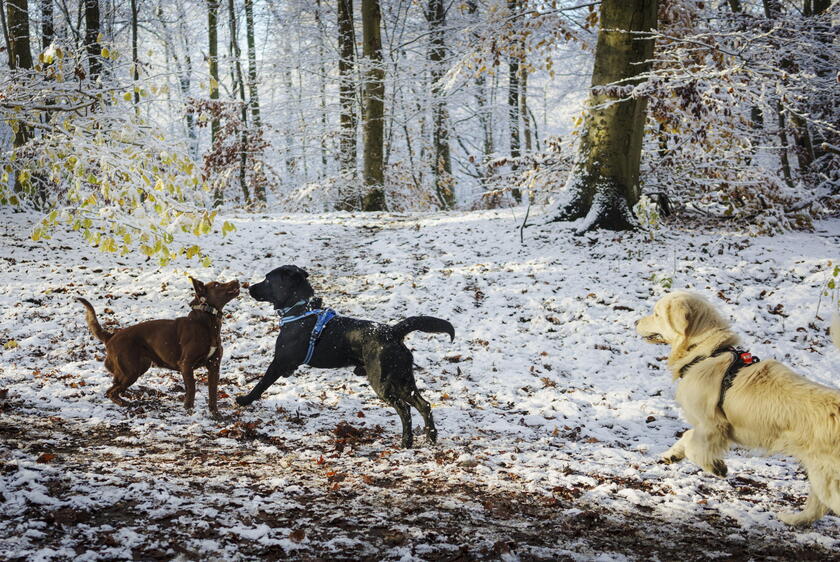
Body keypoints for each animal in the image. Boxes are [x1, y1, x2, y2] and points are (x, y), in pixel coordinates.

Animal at [76, 276, 240, 416]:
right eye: (217, 285)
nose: (237, 280)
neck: (207, 321)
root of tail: (111, 336)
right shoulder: (186, 364)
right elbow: (192, 389)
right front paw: (189, 411)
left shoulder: (214, 366)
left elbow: (213, 393)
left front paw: (216, 414)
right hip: (131, 371)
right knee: (111, 391)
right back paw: (124, 404)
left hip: (138, 367)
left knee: (113, 387)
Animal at [236, 264, 456, 446]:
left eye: (267, 280)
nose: (248, 287)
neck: (300, 310)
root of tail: (393, 332)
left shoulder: (279, 362)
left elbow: (261, 383)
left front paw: (245, 400)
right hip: (403, 379)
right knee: (424, 405)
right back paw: (430, 437)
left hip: (383, 382)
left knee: (405, 409)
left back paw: (406, 441)